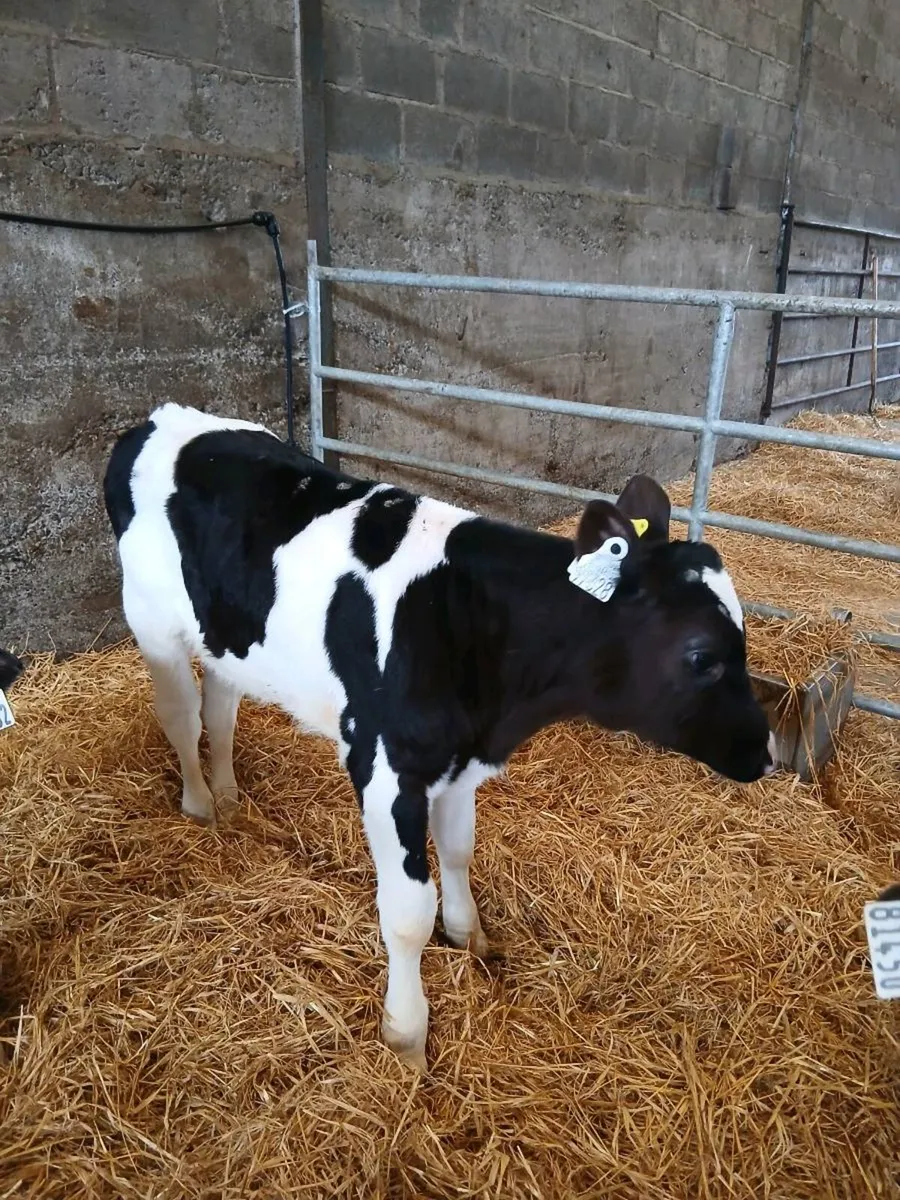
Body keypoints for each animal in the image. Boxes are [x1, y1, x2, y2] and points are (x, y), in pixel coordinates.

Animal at [104, 403, 775, 1070]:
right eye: (701, 656)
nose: (768, 754)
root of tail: (160, 416)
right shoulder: (386, 770)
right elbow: (406, 914)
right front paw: (406, 1034)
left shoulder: (460, 763)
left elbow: (457, 851)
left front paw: (469, 933)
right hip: (151, 621)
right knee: (182, 714)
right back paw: (198, 803)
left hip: (225, 632)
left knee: (220, 708)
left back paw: (229, 798)